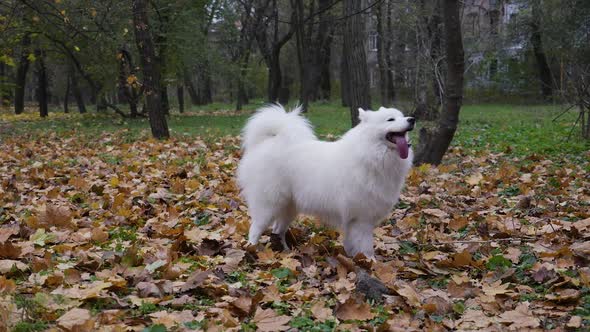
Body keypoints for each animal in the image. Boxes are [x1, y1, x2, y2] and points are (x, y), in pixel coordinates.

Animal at [236, 105, 416, 258]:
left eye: (402, 116)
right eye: (390, 119)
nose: (412, 119)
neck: (370, 155)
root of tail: (268, 142)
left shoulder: (354, 220)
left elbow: (352, 243)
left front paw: (353, 257)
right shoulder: (361, 219)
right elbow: (366, 246)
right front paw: (370, 262)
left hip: (289, 207)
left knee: (277, 230)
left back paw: (286, 252)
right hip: (269, 204)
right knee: (256, 229)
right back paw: (251, 249)